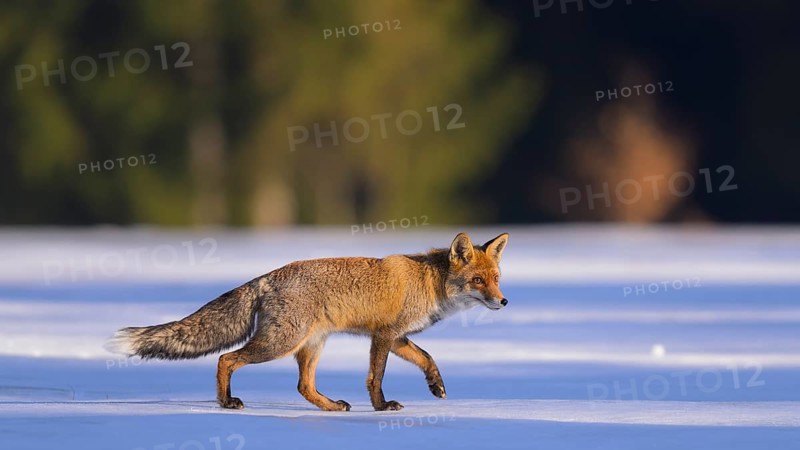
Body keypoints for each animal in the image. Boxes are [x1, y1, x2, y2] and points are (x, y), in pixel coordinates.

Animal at [106, 232, 509, 412]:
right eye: (478, 280)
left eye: (496, 278)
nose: (503, 301)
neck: (428, 282)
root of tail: (267, 276)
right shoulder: (383, 335)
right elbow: (375, 377)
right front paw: (380, 408)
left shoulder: (397, 337)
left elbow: (428, 357)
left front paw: (436, 386)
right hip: (279, 344)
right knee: (225, 358)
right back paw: (226, 401)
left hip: (310, 346)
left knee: (303, 386)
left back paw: (331, 406)